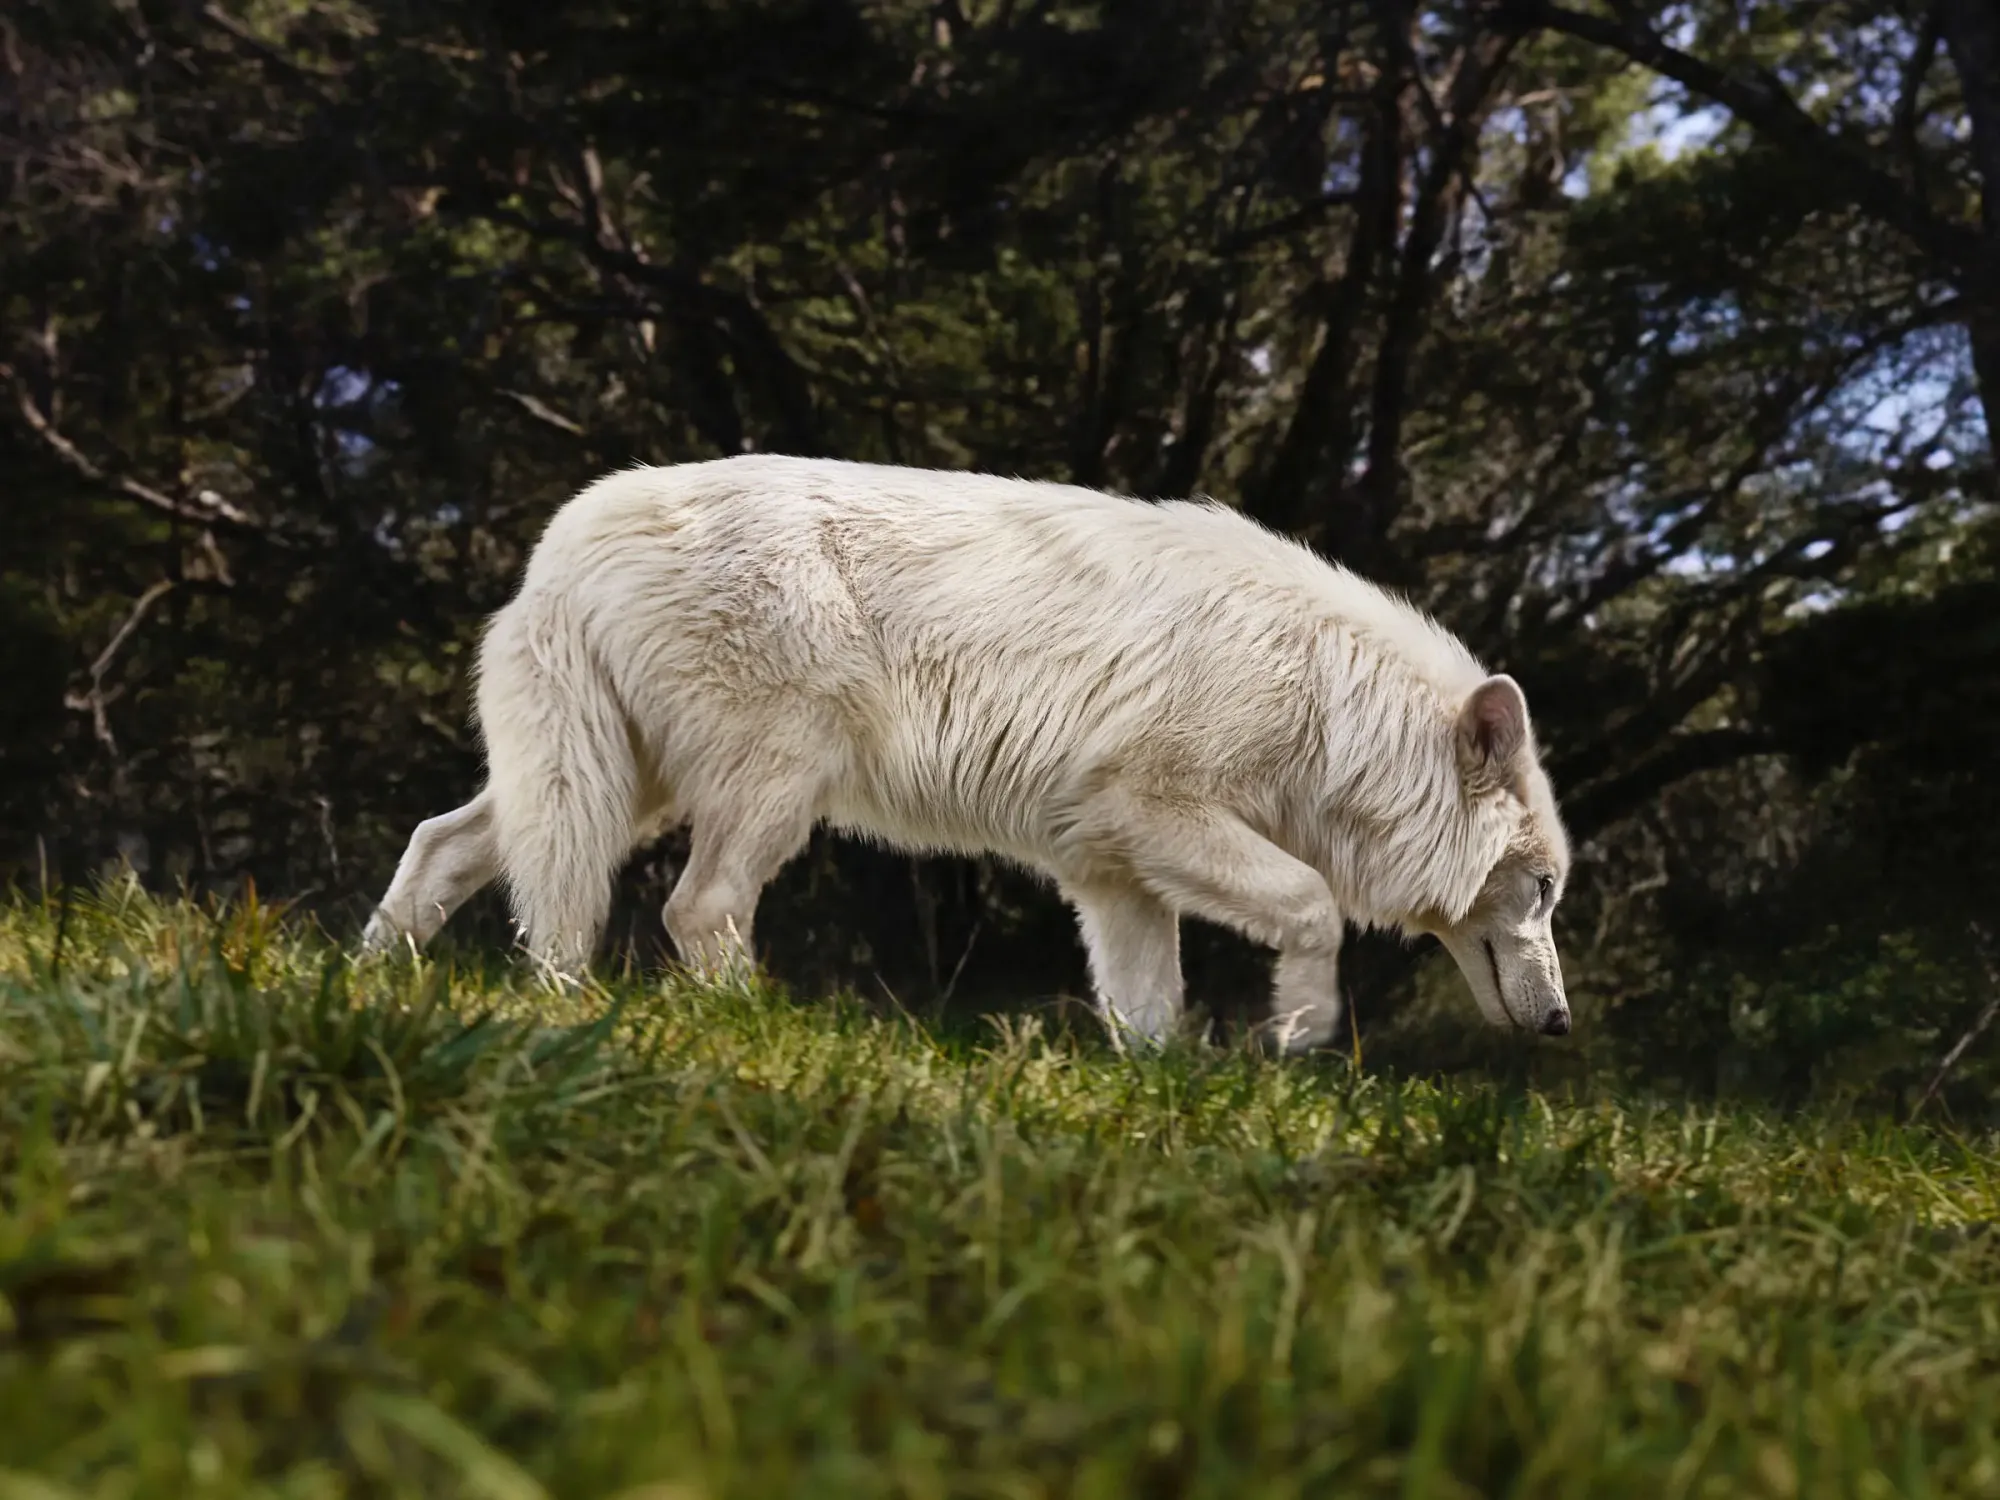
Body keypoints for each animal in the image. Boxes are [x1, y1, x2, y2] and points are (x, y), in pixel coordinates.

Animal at [362, 455, 1572, 1051]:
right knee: (694, 908)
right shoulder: (1159, 809)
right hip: (770, 787)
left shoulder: (1112, 873)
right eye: (1548, 888)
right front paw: (1303, 1034)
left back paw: (383, 981)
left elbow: (1152, 1015)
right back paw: (752, 1021)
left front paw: (1165, 1099)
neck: (1330, 701)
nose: (1562, 1021)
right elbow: (1315, 907)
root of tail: (566, 539)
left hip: (613, 789)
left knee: (445, 845)